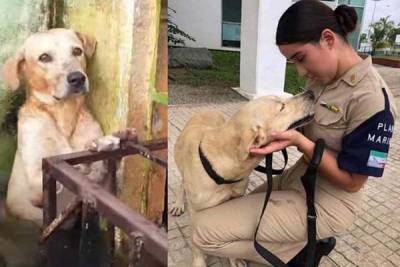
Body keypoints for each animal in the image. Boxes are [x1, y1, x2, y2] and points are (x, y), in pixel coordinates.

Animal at [0, 28, 132, 226]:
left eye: (77, 51)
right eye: (44, 57)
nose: (77, 78)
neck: (65, 114)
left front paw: (109, 143)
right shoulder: (35, 184)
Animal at [171, 91, 316, 266]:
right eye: (282, 107)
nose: (311, 93)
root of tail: (206, 110)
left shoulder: (234, 201)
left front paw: (234, 259)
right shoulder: (195, 213)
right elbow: (196, 244)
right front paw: (199, 261)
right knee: (182, 184)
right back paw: (178, 204)